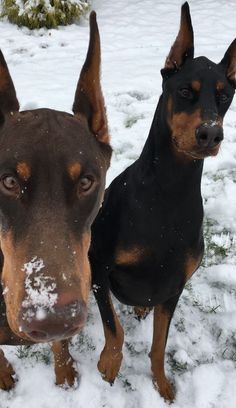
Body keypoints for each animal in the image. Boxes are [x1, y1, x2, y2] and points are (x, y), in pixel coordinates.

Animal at [89, 2, 235, 402]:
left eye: (224, 96)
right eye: (185, 90)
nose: (210, 134)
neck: (168, 194)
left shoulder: (174, 287)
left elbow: (158, 346)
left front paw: (163, 386)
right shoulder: (98, 264)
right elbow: (114, 329)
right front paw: (109, 366)